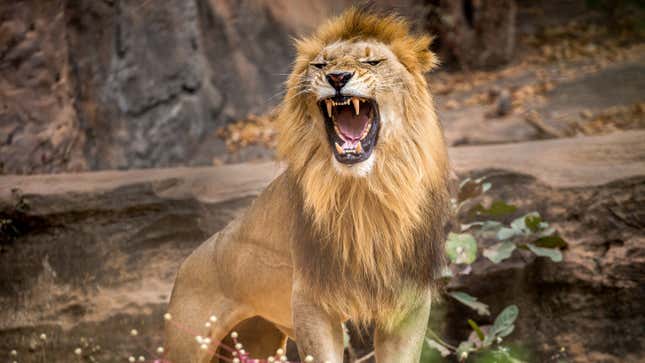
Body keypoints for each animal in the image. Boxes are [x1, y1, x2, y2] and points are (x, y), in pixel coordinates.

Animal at [164, 8, 450, 363]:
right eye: (320, 65)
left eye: (372, 62)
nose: (337, 78)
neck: (364, 192)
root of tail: (188, 262)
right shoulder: (311, 301)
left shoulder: (409, 302)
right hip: (187, 343)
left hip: (257, 342)